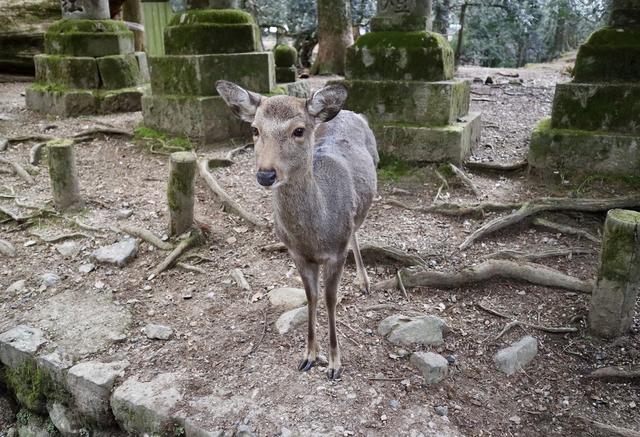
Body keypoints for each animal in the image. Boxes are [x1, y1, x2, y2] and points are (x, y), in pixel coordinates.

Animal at [219, 79, 380, 378]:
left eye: (299, 130)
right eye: (254, 129)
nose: (266, 174)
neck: (314, 236)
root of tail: (351, 112)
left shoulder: (336, 254)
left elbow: (330, 299)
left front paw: (335, 364)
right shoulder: (297, 254)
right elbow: (311, 297)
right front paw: (309, 356)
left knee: (355, 231)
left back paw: (364, 282)